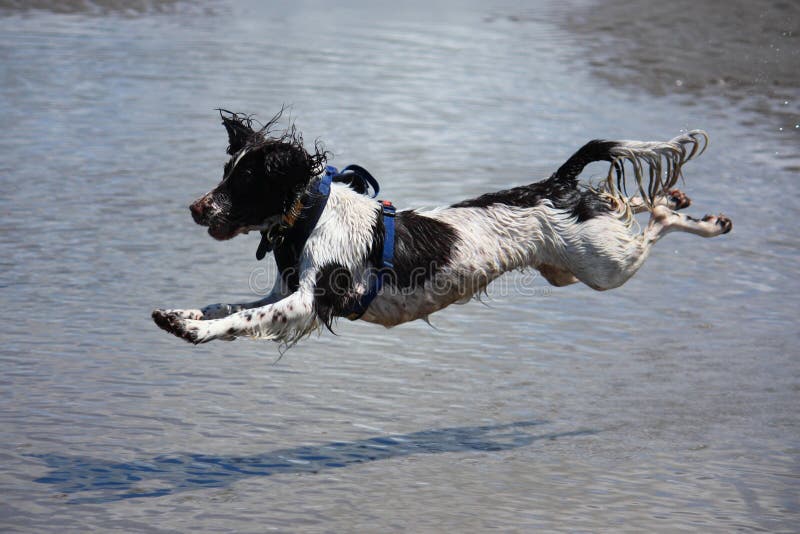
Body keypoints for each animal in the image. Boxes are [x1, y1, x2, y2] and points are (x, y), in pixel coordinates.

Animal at [152, 111, 732, 350]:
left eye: (245, 181)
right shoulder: (285, 291)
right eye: (225, 171)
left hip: (606, 267)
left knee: (651, 224)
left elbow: (242, 319)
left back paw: (702, 219)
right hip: (571, 265)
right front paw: (181, 315)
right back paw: (676, 199)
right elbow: (229, 305)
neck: (309, 217)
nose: (196, 208)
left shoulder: (313, 300)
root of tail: (555, 184)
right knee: (619, 200)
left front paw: (195, 332)